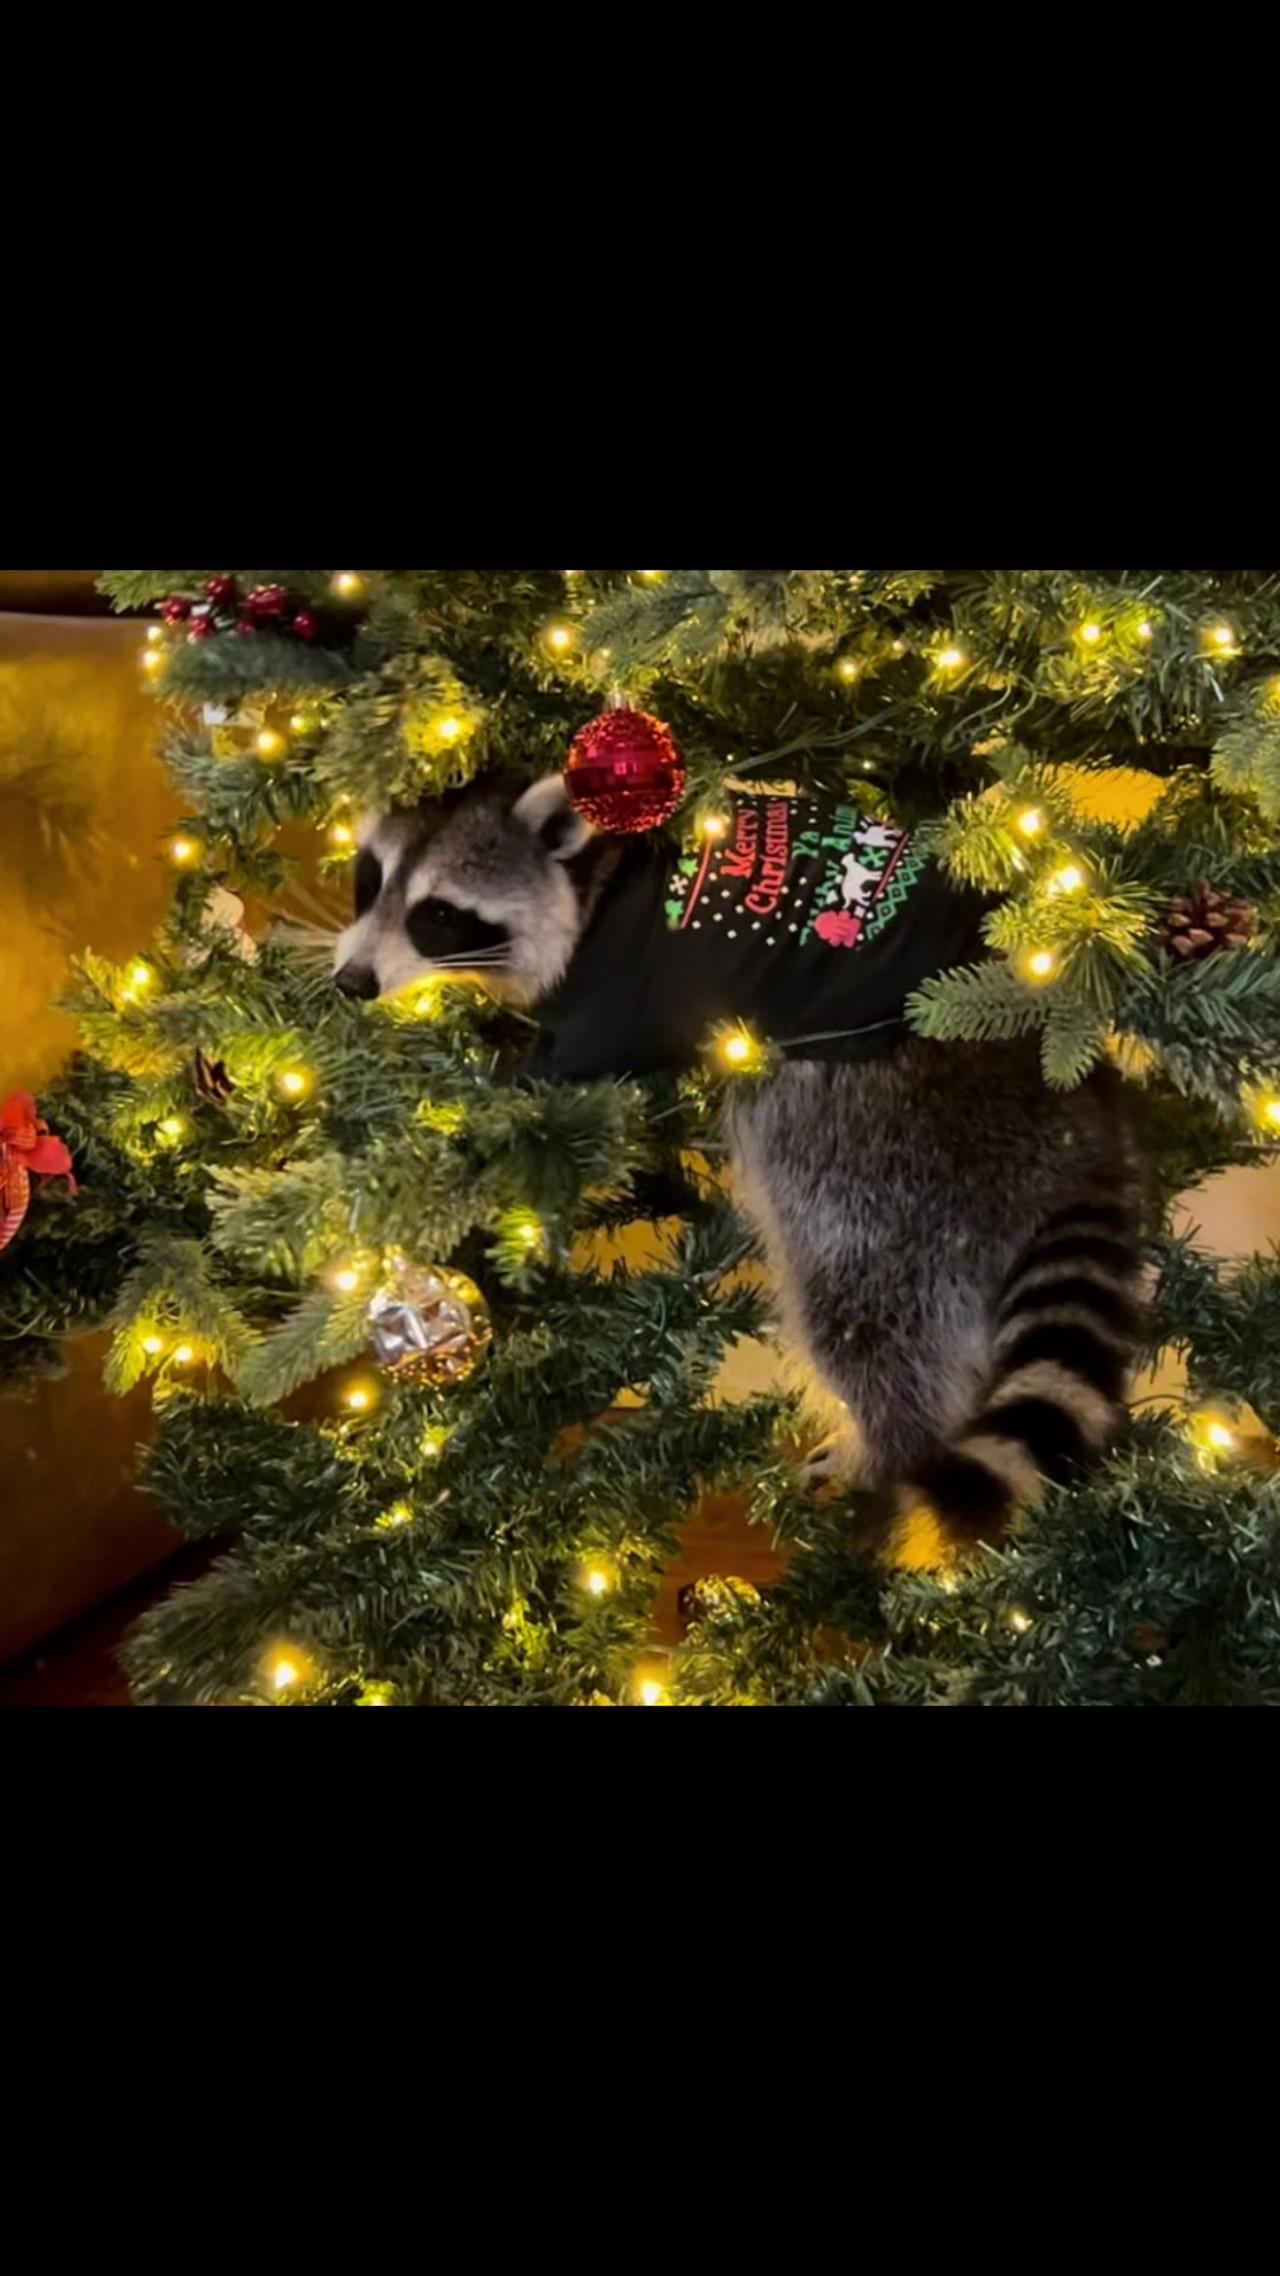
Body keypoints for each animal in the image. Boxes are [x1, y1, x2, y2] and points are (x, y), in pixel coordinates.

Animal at [337, 775, 1145, 1570]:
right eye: (368, 879)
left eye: (440, 916)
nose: (352, 983)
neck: (601, 871)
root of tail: (1078, 1124)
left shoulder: (621, 996)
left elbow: (561, 1071)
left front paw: (476, 1087)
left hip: (889, 1143)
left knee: (862, 1307)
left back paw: (885, 1449)